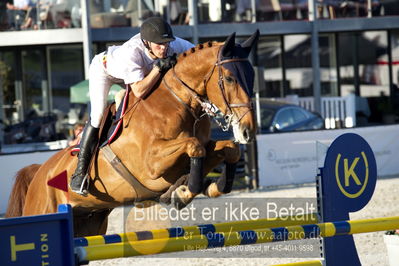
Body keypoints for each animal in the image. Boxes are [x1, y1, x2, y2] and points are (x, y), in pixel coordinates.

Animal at [5, 31, 260, 237]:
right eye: (230, 78)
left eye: (251, 76)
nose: (248, 131)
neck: (177, 102)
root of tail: (39, 172)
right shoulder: (151, 165)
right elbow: (194, 146)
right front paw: (184, 191)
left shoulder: (201, 148)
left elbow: (229, 150)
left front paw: (207, 187)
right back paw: (78, 180)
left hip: (89, 223)